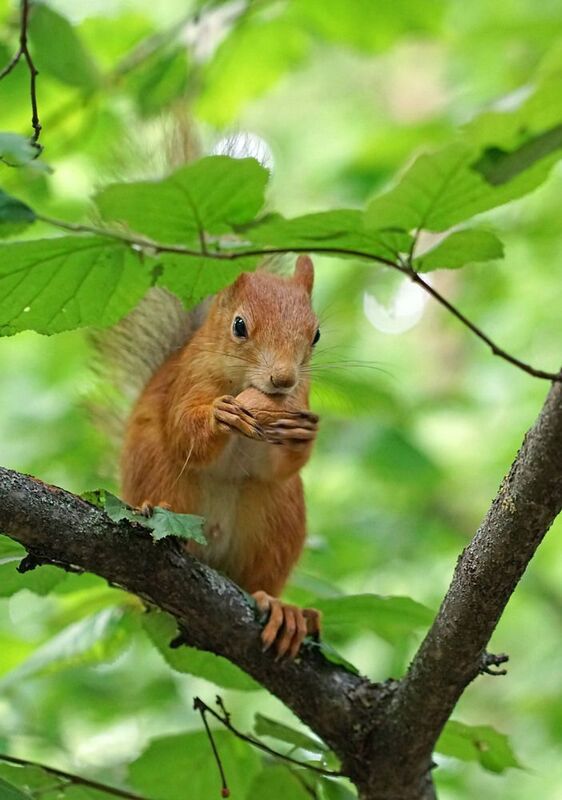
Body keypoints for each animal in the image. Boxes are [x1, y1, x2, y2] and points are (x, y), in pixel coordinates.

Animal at [117, 255, 322, 659]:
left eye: (316, 335)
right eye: (239, 326)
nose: (283, 379)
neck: (244, 384)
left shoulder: (298, 400)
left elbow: (278, 465)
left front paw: (300, 437)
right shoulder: (187, 381)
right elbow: (183, 433)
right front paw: (220, 416)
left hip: (279, 519)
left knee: (260, 581)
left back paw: (283, 610)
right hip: (160, 472)